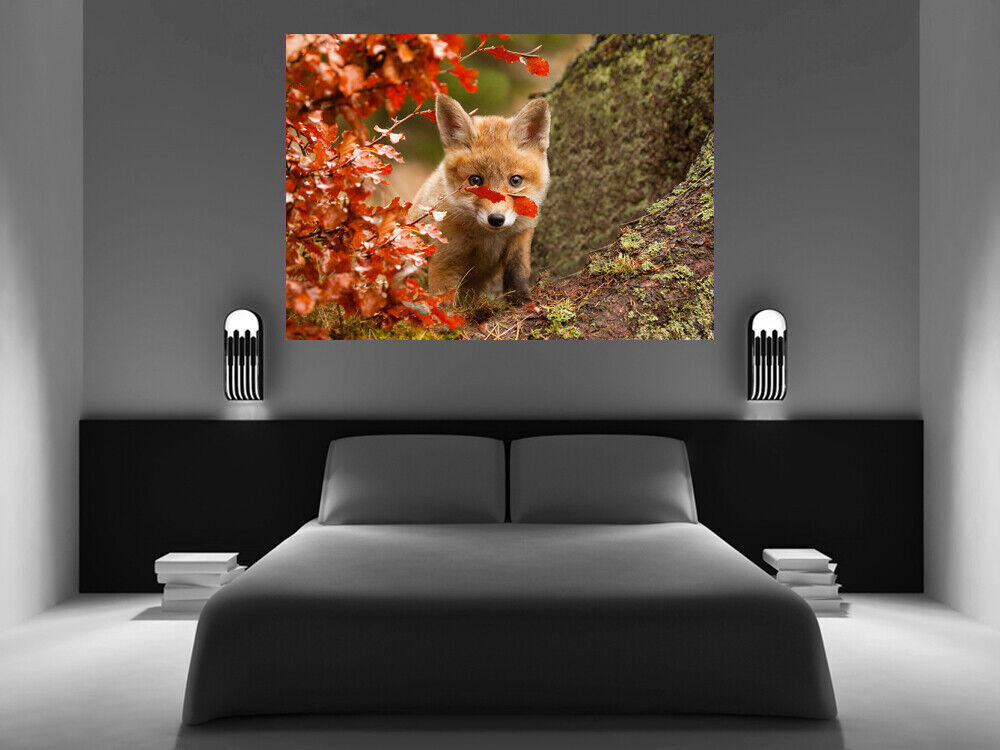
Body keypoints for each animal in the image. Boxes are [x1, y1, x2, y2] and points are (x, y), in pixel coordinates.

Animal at [410, 93, 551, 305]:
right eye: (475, 180)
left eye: (515, 180)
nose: (496, 219)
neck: (488, 239)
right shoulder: (446, 257)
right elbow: (443, 298)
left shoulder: (521, 235)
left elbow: (518, 271)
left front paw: (522, 299)